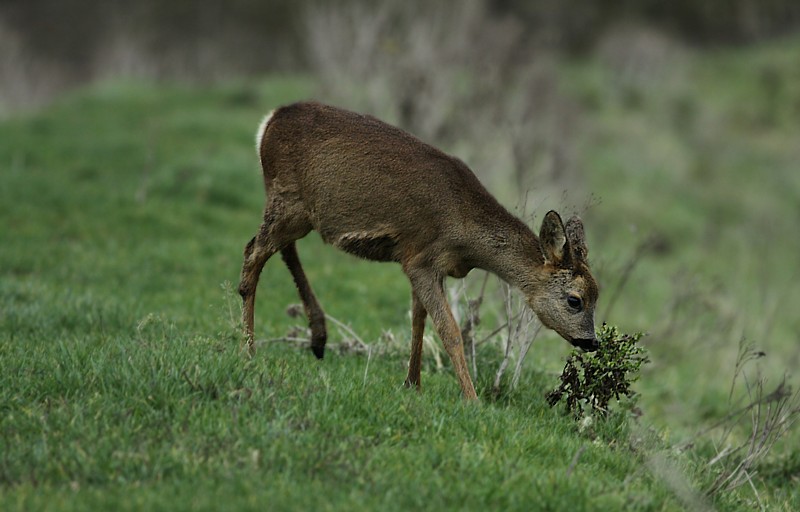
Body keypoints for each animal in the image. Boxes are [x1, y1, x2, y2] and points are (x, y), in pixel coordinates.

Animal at [234, 101, 596, 400]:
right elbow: (449, 330)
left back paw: (318, 337)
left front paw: (412, 384)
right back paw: (248, 350)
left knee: (280, 249)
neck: (466, 229)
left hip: (297, 210)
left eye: (598, 295)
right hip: (287, 198)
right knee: (253, 252)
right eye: (574, 300)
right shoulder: (422, 260)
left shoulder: (419, 260)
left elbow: (418, 319)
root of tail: (269, 122)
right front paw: (472, 399)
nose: (591, 341)